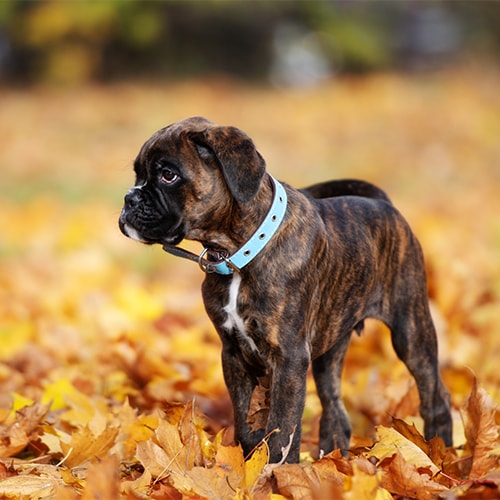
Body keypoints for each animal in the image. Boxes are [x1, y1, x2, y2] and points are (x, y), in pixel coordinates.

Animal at [118, 115, 454, 462]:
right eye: (138, 175)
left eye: (168, 175)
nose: (129, 198)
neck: (238, 252)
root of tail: (382, 203)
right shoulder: (234, 354)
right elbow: (246, 422)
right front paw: (250, 462)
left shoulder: (289, 358)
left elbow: (282, 427)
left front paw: (277, 471)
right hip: (330, 350)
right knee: (335, 409)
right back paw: (331, 460)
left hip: (411, 331)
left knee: (435, 396)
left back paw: (439, 452)